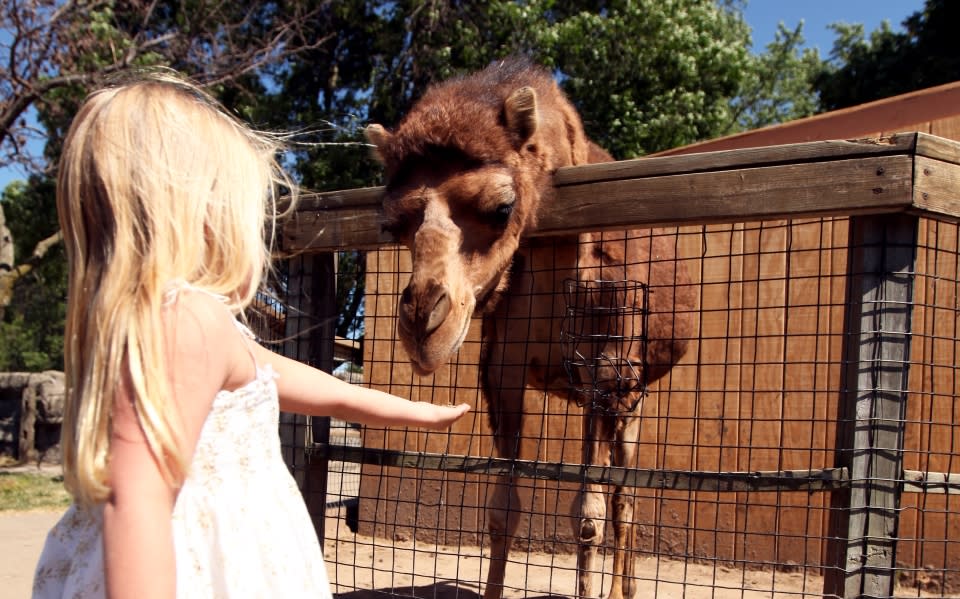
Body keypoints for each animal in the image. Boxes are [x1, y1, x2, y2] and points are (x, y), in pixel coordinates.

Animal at [366, 57, 688, 599]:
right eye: (393, 225)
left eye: (502, 207)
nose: (422, 322)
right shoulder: (505, 372)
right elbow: (504, 511)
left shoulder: (606, 376)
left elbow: (587, 515)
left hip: (633, 394)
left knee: (624, 494)